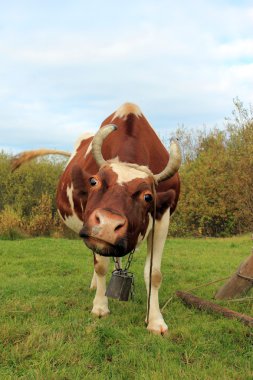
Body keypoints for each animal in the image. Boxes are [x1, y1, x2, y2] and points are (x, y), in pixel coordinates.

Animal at [12, 102, 181, 334]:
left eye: (148, 196)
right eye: (94, 182)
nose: (108, 224)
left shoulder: (162, 217)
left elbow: (154, 274)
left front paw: (155, 320)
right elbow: (100, 266)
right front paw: (100, 306)